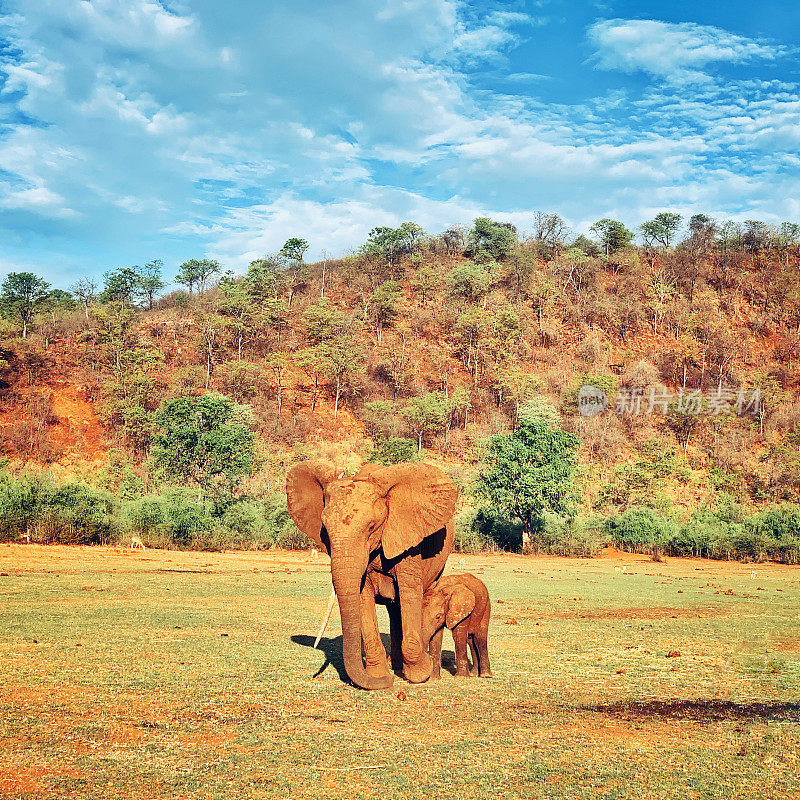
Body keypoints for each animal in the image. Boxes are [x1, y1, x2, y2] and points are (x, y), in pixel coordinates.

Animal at [288, 460, 456, 692]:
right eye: (325, 531)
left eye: (371, 527)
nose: (389, 681)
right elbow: (362, 596)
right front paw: (380, 677)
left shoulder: (409, 537)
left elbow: (409, 592)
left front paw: (421, 673)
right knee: (395, 610)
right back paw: (394, 665)